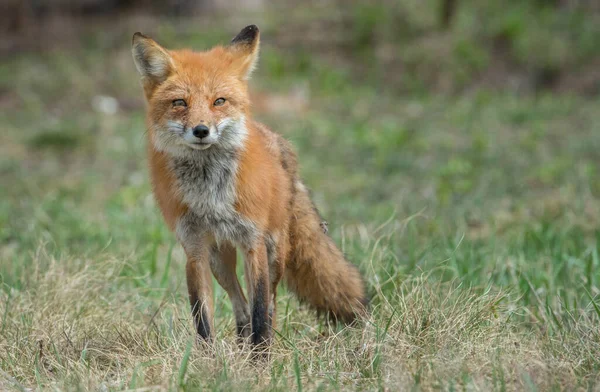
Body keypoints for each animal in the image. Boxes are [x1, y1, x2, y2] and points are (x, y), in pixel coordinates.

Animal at [131, 26, 366, 348]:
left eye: (219, 101)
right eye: (180, 103)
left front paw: (261, 358)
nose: (201, 130)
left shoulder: (253, 242)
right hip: (220, 259)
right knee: (239, 305)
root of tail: (279, 142)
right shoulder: (195, 250)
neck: (210, 195)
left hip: (275, 251)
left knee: (271, 303)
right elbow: (204, 320)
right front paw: (209, 358)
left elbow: (260, 313)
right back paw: (241, 343)